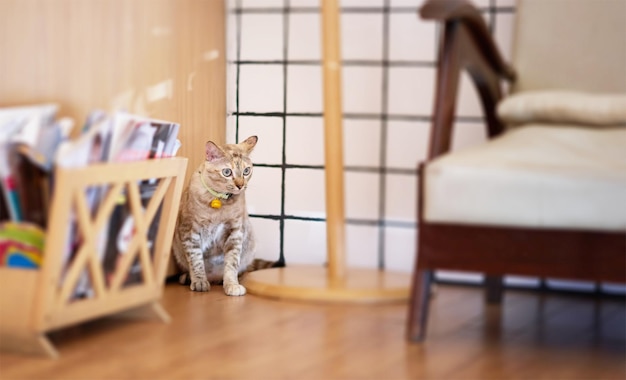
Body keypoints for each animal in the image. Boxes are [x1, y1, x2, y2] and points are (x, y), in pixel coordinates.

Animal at [169, 137, 280, 296]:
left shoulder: (235, 232)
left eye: (246, 171)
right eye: (227, 172)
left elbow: (231, 264)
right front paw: (200, 282)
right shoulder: (190, 231)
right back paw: (188, 278)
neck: (219, 203)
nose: (240, 185)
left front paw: (231, 285)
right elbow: (196, 260)